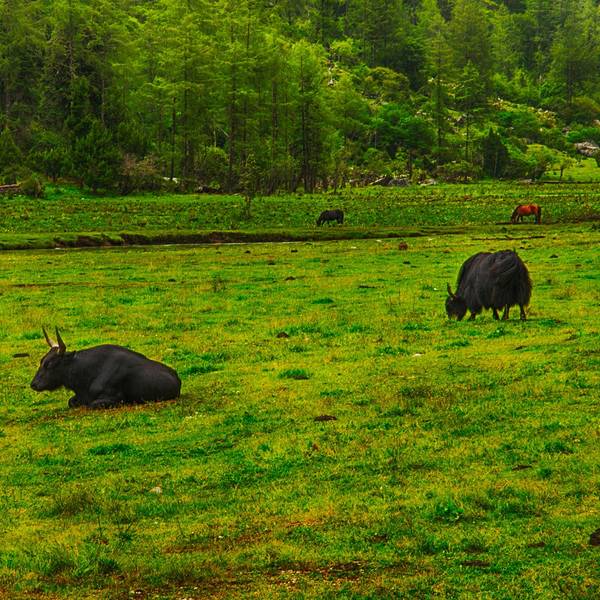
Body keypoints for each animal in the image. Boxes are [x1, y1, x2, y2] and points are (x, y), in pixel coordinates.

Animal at [30, 328, 181, 409]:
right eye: (42, 360)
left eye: (50, 364)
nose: (33, 384)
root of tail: (177, 378)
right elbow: (71, 402)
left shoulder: (114, 398)